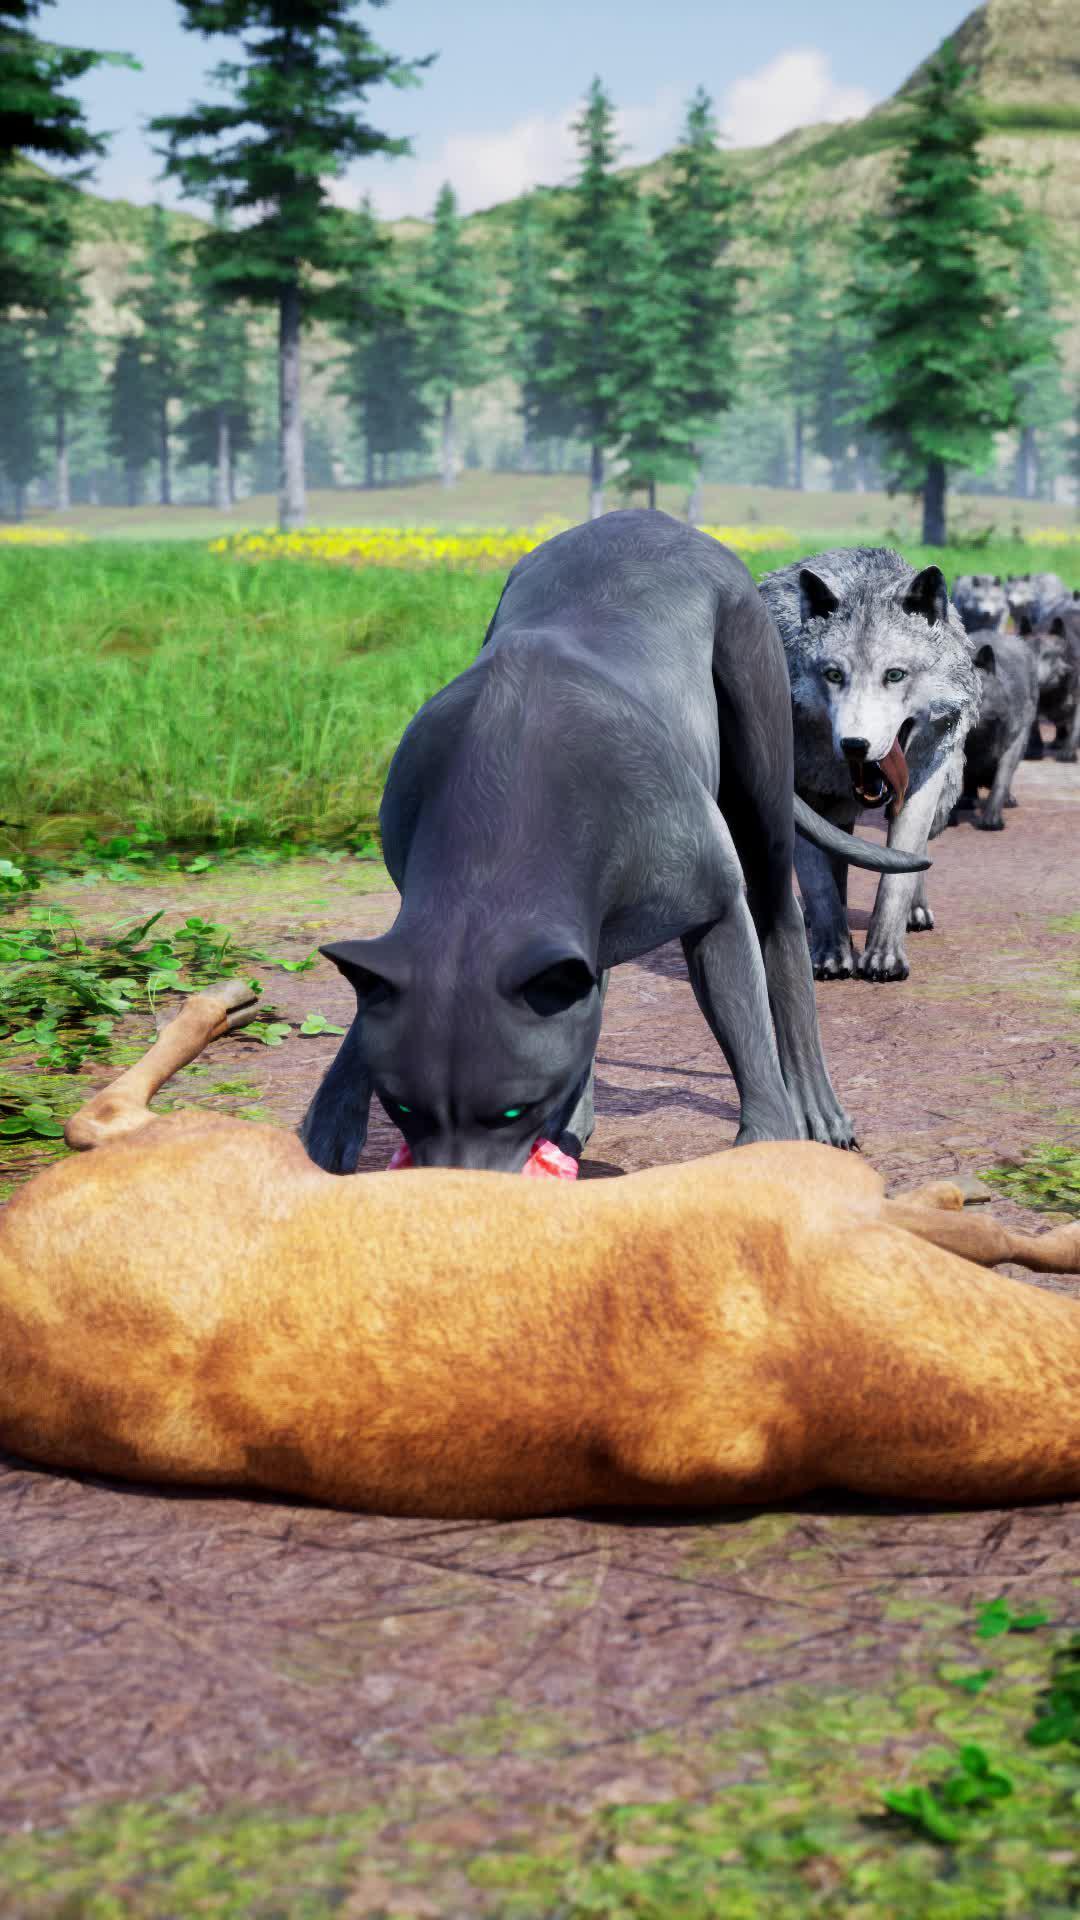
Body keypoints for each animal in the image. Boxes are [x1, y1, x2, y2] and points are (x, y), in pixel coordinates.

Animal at [301, 513, 927, 1174]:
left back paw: (817, 1110)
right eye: (402, 1106)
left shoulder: (713, 905)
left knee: (779, 922)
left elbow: (744, 1022)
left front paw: (765, 1142)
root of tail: (663, 522)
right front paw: (325, 1134)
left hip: (760, 772)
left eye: (512, 1110)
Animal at [759, 548, 978, 982]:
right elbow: (818, 881)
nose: (854, 745)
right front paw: (831, 953)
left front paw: (884, 958)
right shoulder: (799, 795)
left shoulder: (922, 785)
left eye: (894, 674)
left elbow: (898, 874)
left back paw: (915, 912)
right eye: (833, 674)